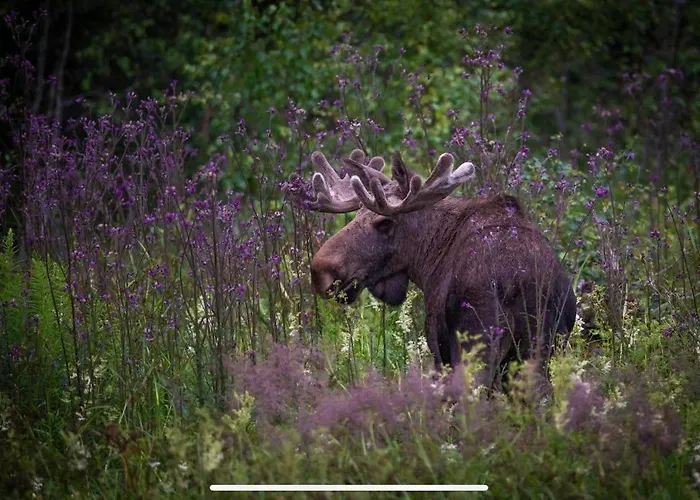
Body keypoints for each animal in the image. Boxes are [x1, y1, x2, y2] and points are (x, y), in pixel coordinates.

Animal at [283, 148, 577, 393]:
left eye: (384, 222)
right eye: (356, 217)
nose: (320, 272)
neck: (427, 260)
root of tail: (517, 281)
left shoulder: (438, 343)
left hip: (477, 345)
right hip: (540, 349)